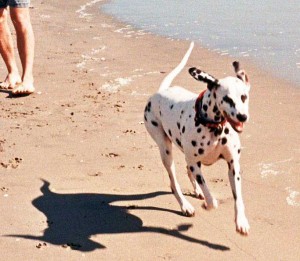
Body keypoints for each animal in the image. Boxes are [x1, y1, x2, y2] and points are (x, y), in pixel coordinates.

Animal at [145, 41, 251, 235]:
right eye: (227, 99)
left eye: (243, 97)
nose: (242, 116)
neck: (215, 129)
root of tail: (161, 91)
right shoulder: (195, 163)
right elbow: (211, 199)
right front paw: (208, 204)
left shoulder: (233, 166)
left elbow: (238, 198)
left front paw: (241, 222)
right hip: (165, 151)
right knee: (174, 182)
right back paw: (185, 205)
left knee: (187, 170)